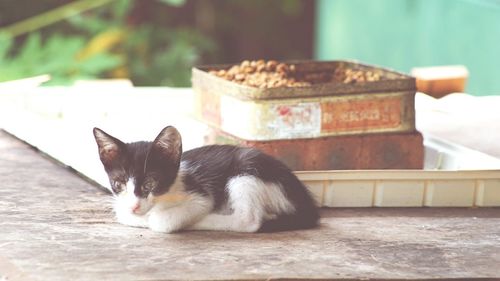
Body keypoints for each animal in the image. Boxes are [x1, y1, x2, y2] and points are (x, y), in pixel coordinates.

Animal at [93, 126, 318, 231]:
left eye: (150, 183)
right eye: (119, 183)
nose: (134, 206)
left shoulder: (201, 195)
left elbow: (163, 221)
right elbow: (124, 215)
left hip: (246, 171)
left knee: (249, 221)